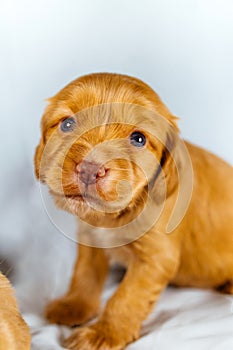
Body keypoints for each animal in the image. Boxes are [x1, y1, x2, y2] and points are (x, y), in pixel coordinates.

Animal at [34, 73, 233, 350]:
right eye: (67, 124)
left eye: (138, 139)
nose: (89, 169)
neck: (111, 217)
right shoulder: (90, 239)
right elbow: (84, 273)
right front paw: (74, 307)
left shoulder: (155, 258)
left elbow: (126, 297)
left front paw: (103, 333)